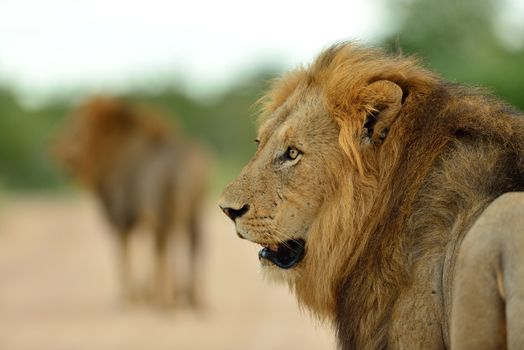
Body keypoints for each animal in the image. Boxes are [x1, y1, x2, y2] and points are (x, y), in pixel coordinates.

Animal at [54, 97, 208, 308]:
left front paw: (129, 297)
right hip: (195, 208)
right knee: (195, 244)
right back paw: (193, 298)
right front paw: (145, 293)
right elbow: (142, 251)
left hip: (162, 209)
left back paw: (168, 300)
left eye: (74, 125)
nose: (54, 146)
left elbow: (125, 255)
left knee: (166, 246)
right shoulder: (140, 220)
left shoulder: (121, 219)